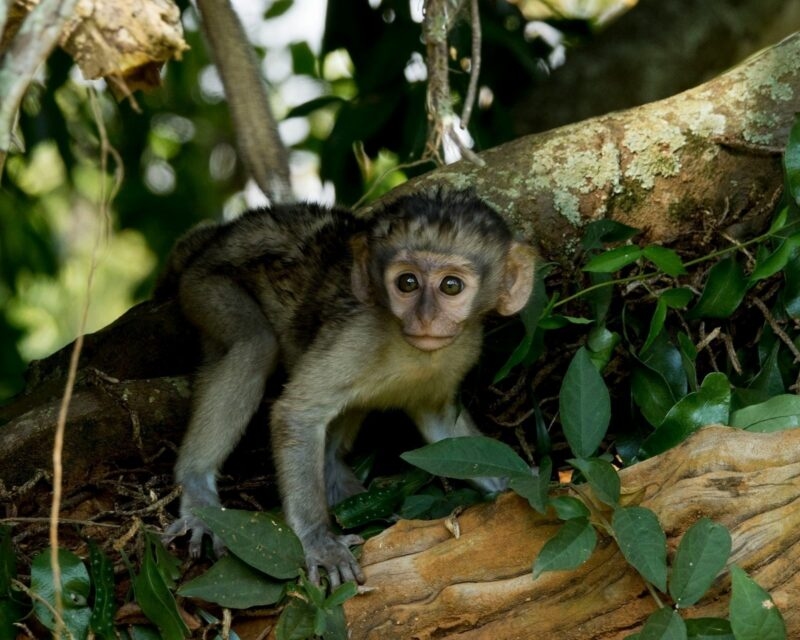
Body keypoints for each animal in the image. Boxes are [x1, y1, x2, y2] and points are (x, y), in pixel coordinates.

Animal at [160, 190, 536, 587]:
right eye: (407, 283)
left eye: (451, 286)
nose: (425, 318)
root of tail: (220, 236)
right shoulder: (356, 336)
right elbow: (296, 413)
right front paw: (318, 541)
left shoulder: (462, 351)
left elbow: (442, 427)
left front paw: (518, 482)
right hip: (206, 286)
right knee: (255, 343)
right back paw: (198, 491)